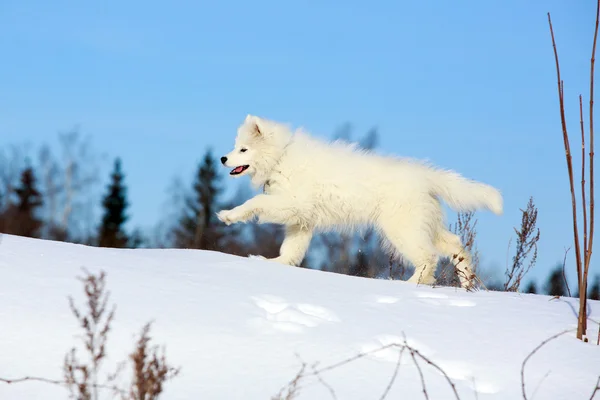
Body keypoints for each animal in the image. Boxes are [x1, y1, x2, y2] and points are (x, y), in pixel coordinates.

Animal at [217, 115, 502, 288]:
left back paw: (410, 285)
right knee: (454, 245)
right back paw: (466, 281)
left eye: (243, 149)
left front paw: (230, 215)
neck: (281, 157)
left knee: (428, 257)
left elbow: (256, 202)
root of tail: (424, 176)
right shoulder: (302, 220)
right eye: (234, 147)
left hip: (402, 229)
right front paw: (273, 264)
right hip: (423, 224)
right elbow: (292, 250)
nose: (222, 158)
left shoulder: (293, 203)